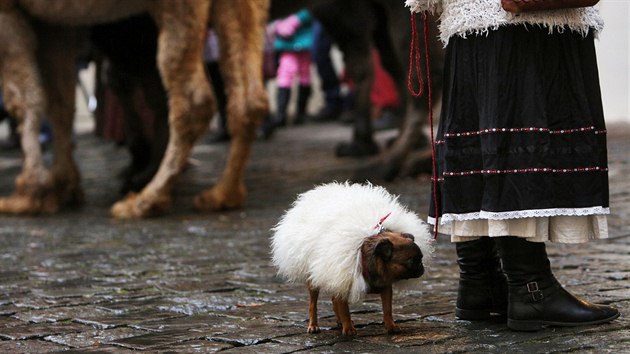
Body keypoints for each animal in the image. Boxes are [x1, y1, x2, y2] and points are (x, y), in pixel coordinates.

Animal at [272, 183, 434, 334]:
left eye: (420, 259)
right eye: (412, 262)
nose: (422, 267)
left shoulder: (385, 286)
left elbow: (387, 309)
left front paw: (390, 326)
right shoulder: (345, 280)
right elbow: (345, 311)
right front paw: (349, 329)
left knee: (334, 298)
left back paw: (338, 321)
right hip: (317, 280)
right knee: (314, 304)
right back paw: (314, 325)